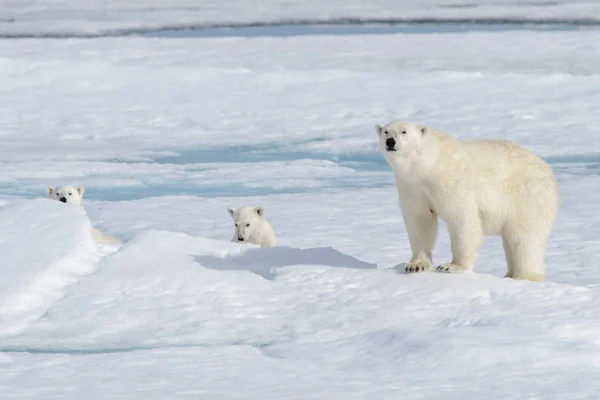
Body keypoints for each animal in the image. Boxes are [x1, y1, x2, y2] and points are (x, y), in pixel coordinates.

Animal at [378, 121, 560, 282]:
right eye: (386, 131)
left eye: (404, 131)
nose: (390, 141)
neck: (426, 164)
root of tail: (548, 170)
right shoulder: (412, 187)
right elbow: (420, 220)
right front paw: (416, 265)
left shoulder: (449, 179)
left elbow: (461, 217)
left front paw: (451, 266)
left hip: (528, 196)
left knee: (525, 237)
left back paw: (524, 276)